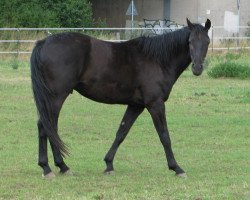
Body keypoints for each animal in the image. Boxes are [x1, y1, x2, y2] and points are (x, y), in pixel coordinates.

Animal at [30, 18, 211, 178]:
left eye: (207, 42)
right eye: (190, 41)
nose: (197, 68)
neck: (157, 60)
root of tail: (44, 42)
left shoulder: (136, 106)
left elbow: (121, 132)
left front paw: (109, 164)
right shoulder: (155, 104)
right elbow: (164, 136)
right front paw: (176, 168)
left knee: (47, 126)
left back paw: (58, 166)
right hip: (55, 97)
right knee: (47, 126)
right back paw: (51, 168)